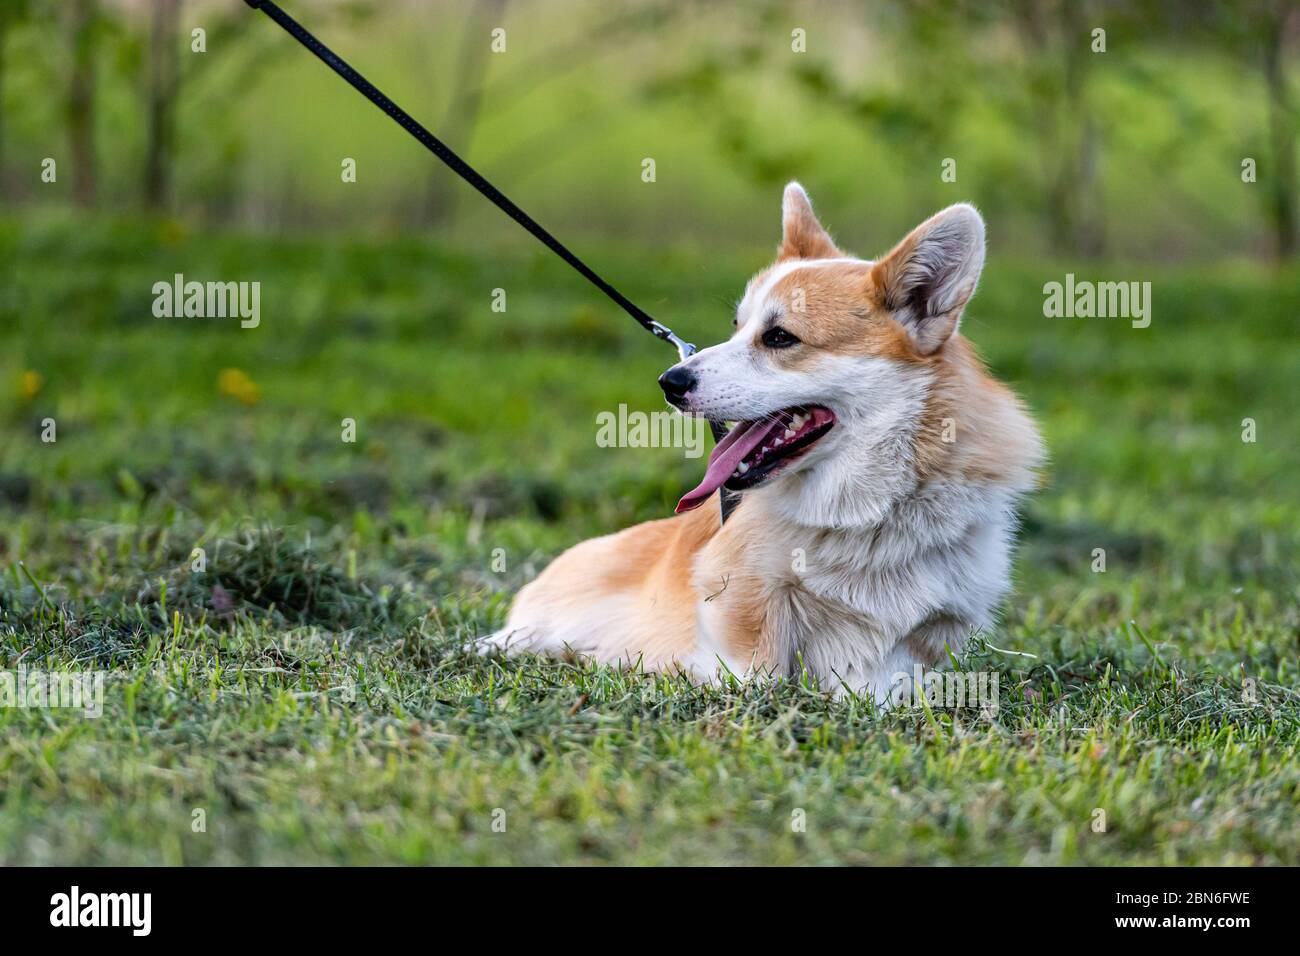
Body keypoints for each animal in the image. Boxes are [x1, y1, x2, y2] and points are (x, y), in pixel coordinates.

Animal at [483, 183, 1040, 702]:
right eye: (737, 327)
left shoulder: (931, 626)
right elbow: (759, 673)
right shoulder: (744, 599)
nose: (670, 381)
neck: (861, 514)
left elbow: (890, 680)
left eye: (779, 338)